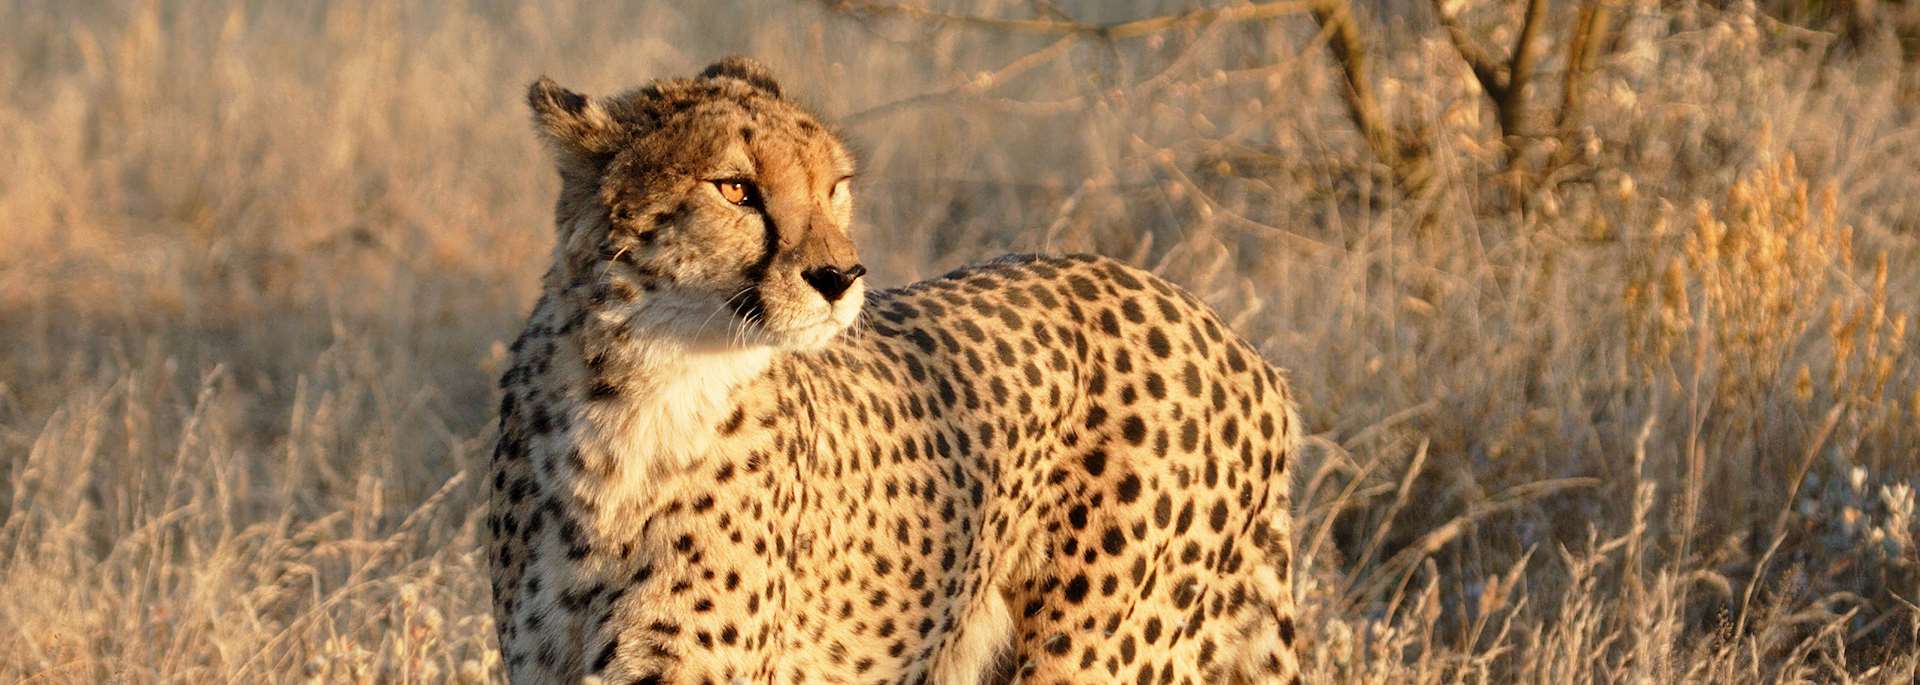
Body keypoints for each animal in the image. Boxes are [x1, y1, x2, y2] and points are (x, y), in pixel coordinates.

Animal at [485, 56, 1304, 685]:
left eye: (834, 186)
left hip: (1095, 651)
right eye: (736, 188)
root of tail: (1245, 349)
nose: (840, 276)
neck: (630, 395)